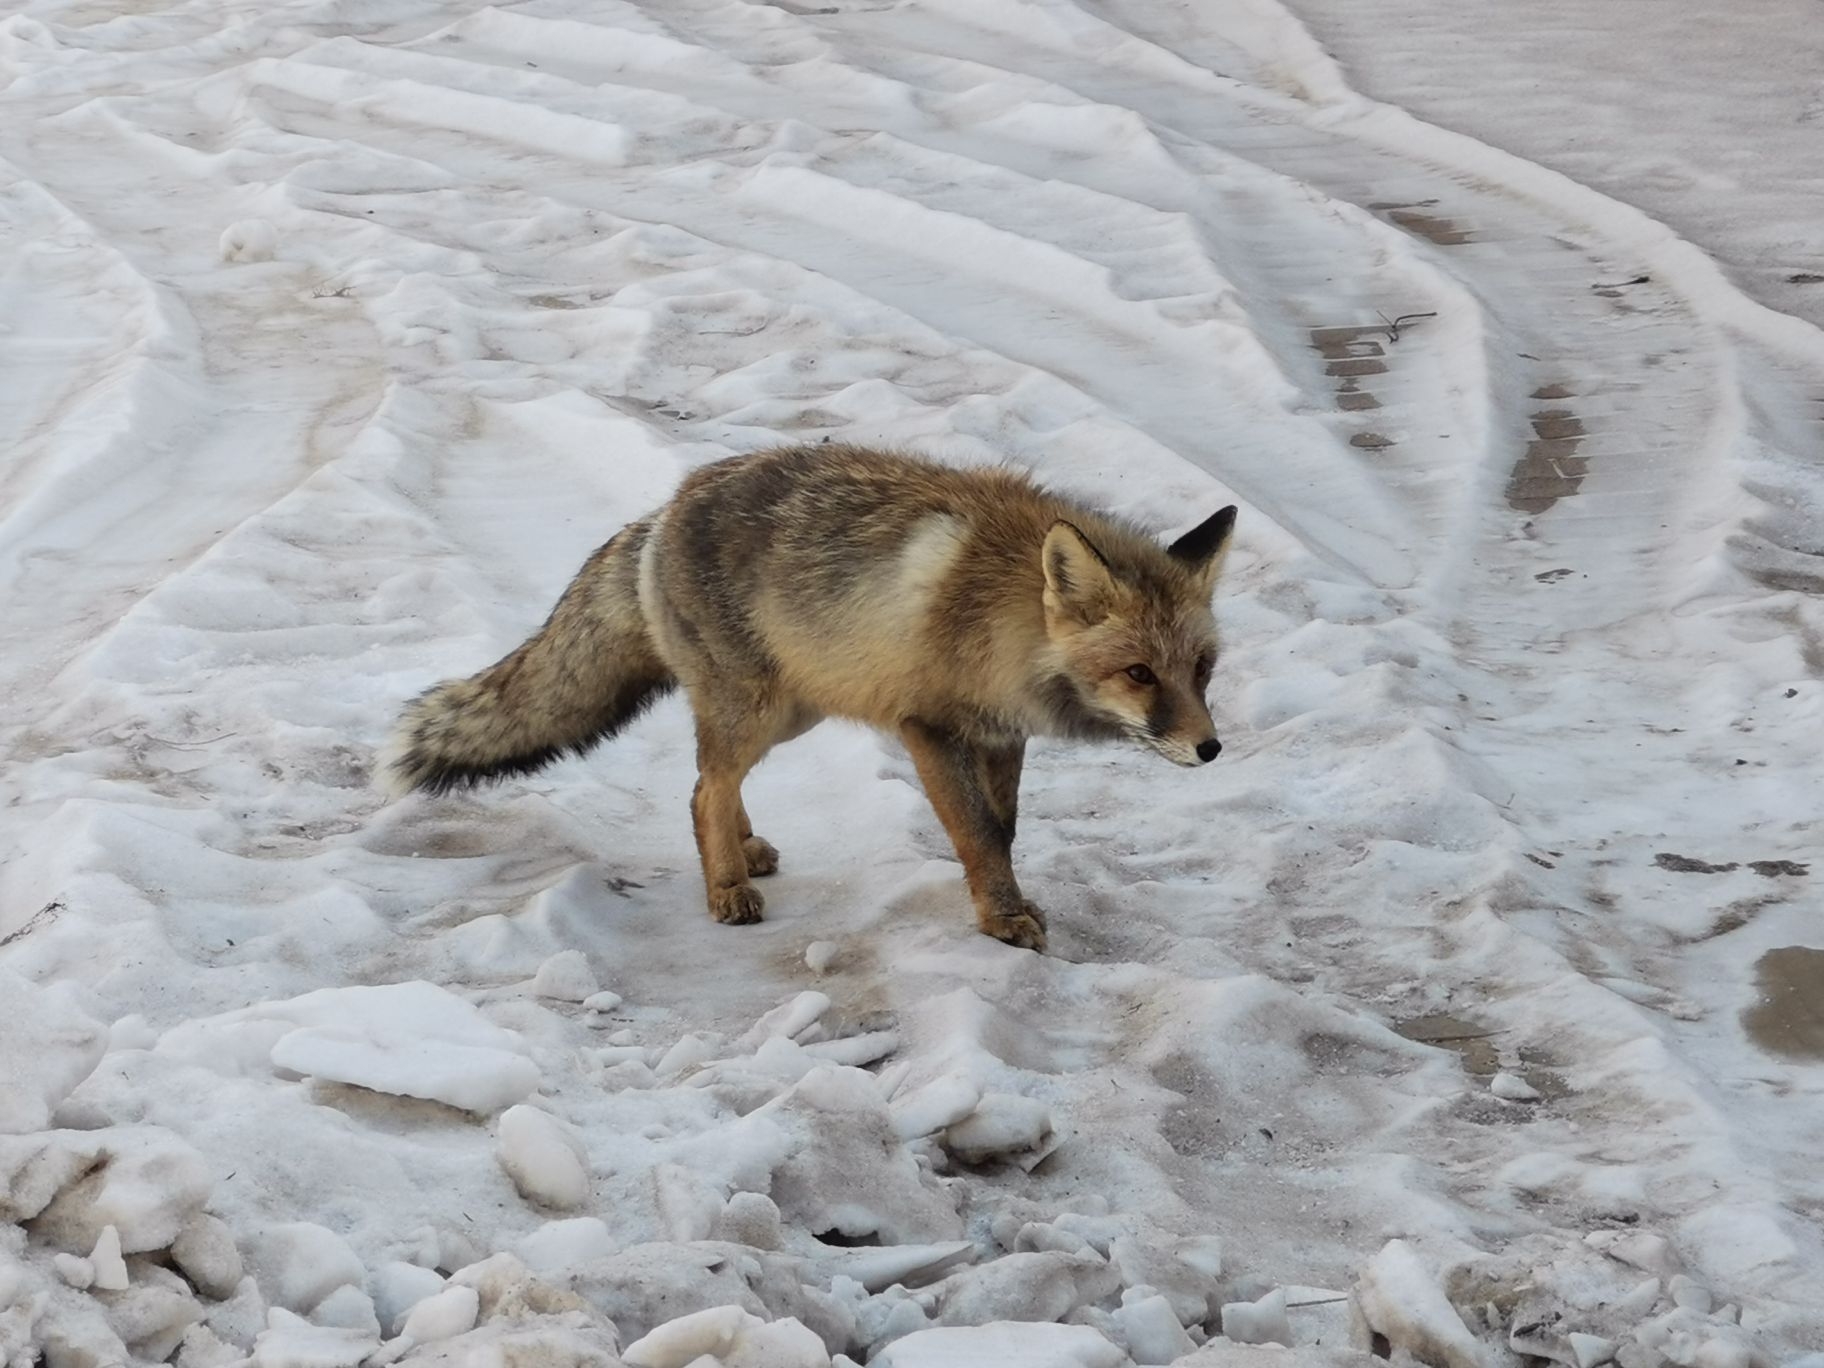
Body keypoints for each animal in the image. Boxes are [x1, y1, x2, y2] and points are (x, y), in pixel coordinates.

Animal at [384, 450, 1240, 955]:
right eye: (1138, 673)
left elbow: (1004, 828)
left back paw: (744, 850)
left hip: (795, 710)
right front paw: (1000, 919)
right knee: (702, 790)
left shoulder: (1002, 735)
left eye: (1201, 669)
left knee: (713, 783)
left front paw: (1007, 901)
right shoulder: (928, 726)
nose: (1211, 749)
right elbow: (977, 836)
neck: (999, 613)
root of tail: (664, 508)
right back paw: (726, 888)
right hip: (759, 708)